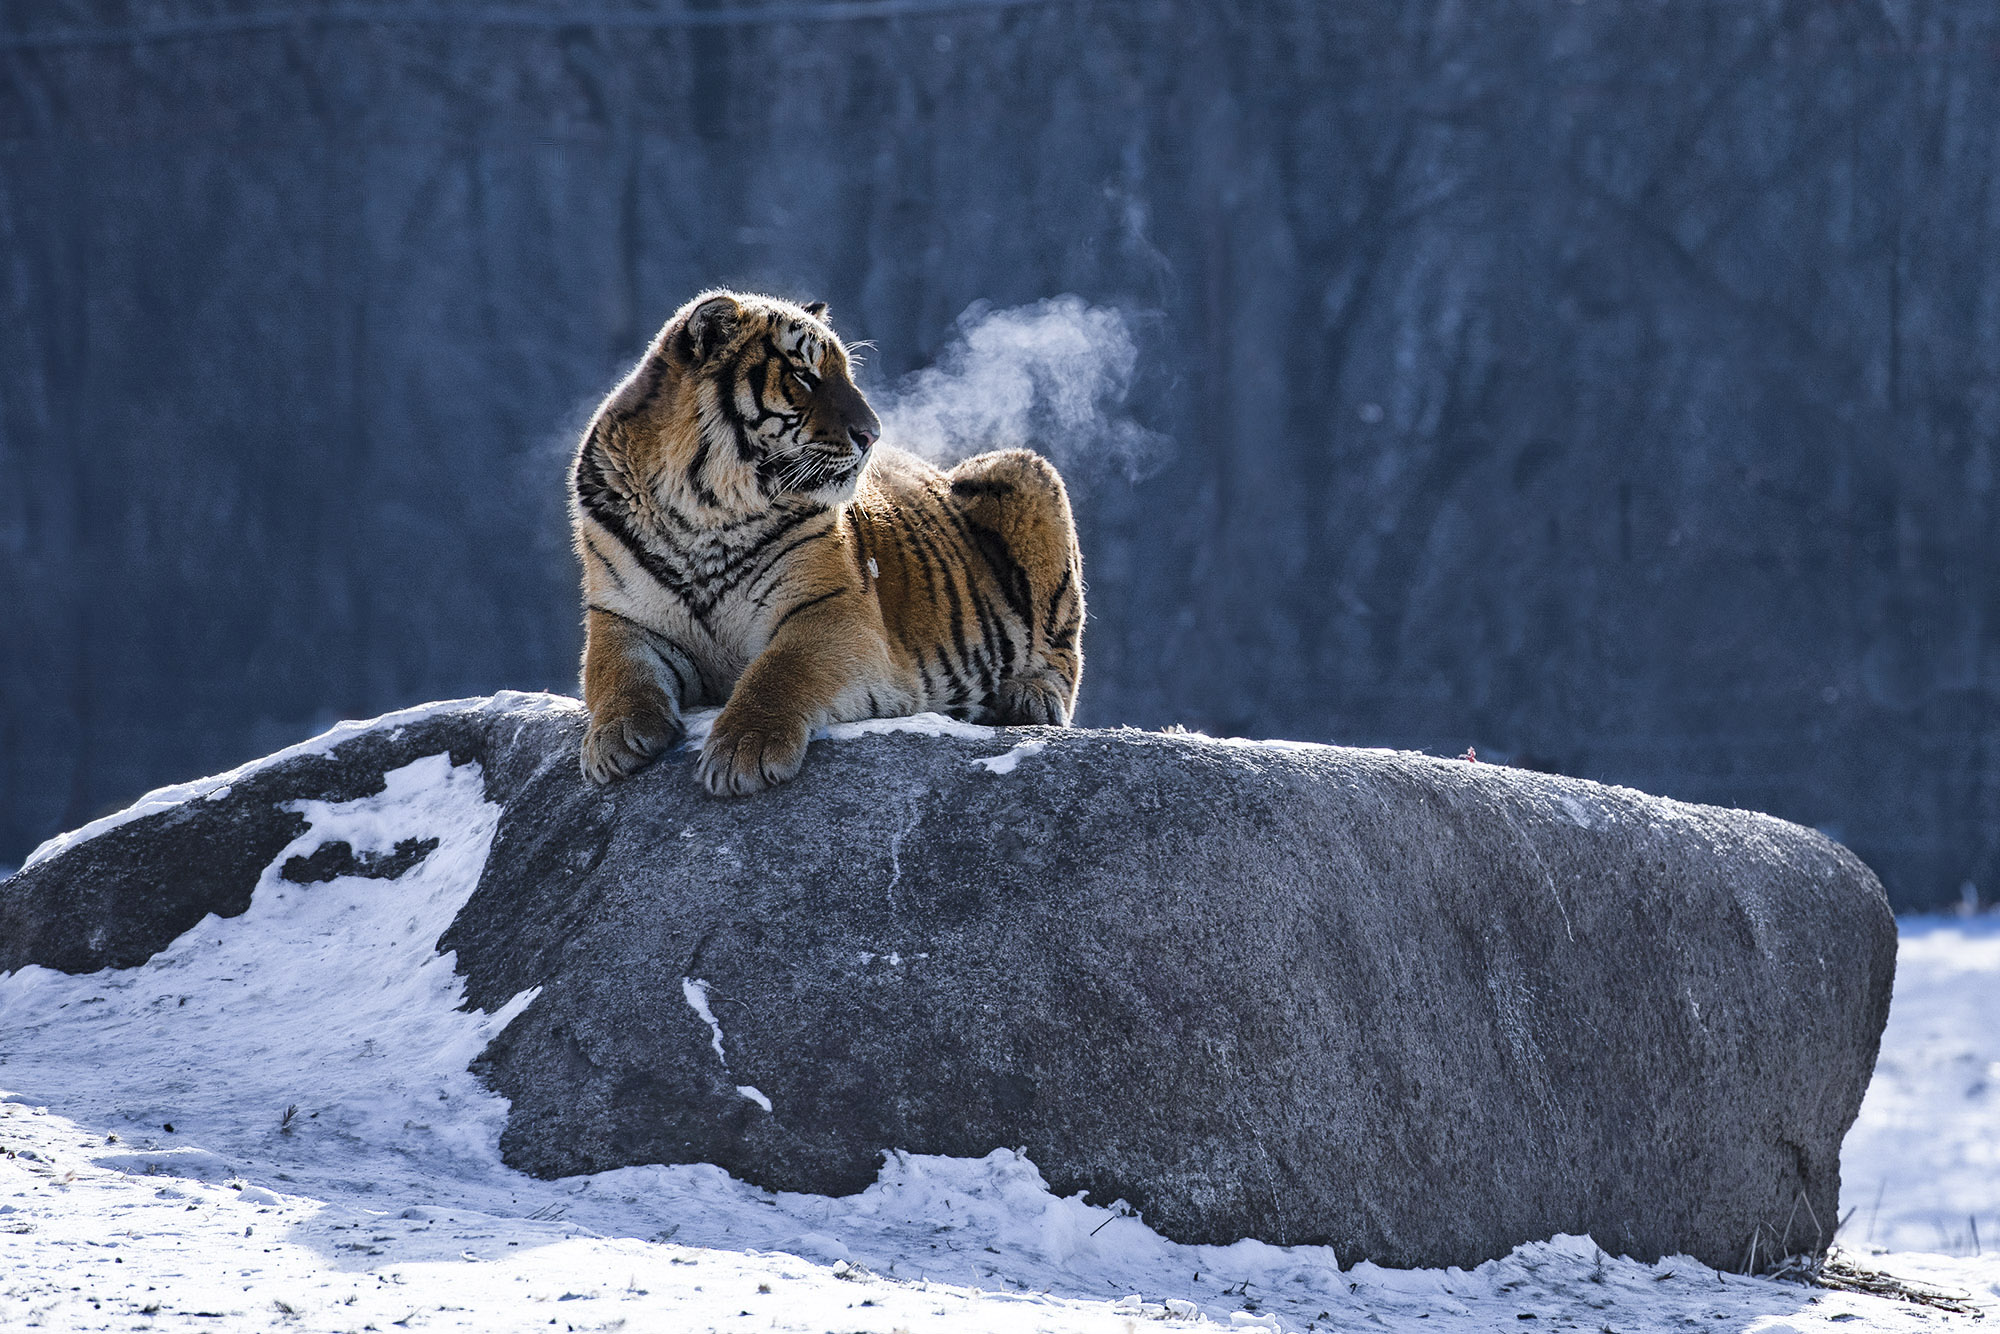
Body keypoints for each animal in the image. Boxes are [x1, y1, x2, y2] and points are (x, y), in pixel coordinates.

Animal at [572, 290, 1088, 792]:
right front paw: (614, 740)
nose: (872, 434)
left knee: (1062, 653)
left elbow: (780, 671)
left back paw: (1028, 698)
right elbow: (618, 672)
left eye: (846, 374)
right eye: (805, 375)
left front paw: (743, 752)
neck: (705, 513)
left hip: (1024, 472)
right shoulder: (622, 617)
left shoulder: (832, 609)